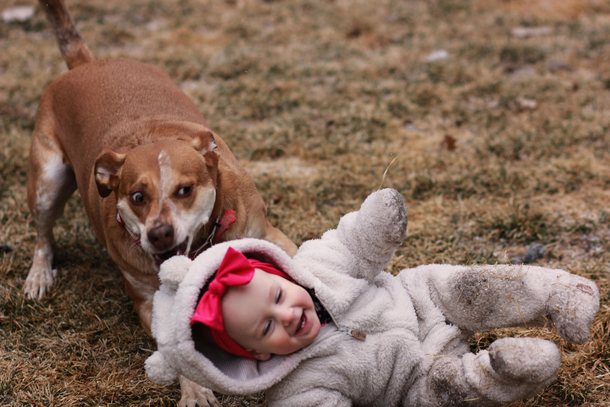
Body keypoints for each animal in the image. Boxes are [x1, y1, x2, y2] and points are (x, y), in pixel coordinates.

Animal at [23, 1, 296, 406]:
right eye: (138, 196)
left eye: (185, 189)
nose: (160, 234)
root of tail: (87, 64)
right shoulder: (150, 301)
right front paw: (196, 392)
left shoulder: (268, 234)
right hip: (47, 182)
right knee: (43, 234)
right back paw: (39, 276)